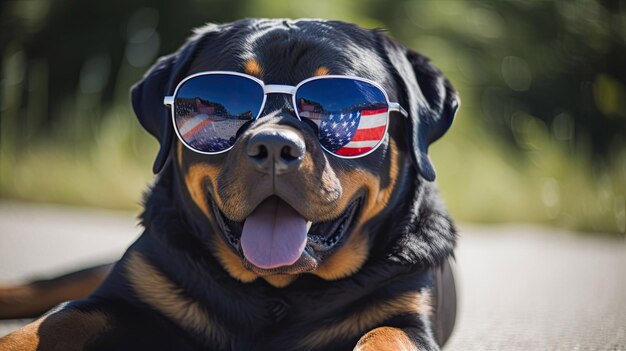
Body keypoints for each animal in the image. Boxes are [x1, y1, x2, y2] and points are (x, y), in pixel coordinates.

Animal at [1, 18, 458, 351]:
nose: (273, 146)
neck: (276, 292)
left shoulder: (406, 314)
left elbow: (384, 336)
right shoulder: (130, 288)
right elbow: (53, 321)